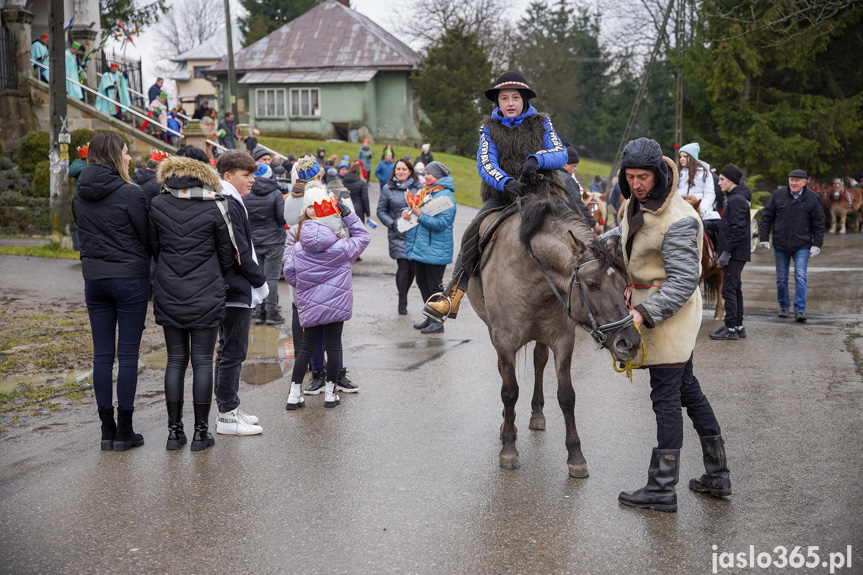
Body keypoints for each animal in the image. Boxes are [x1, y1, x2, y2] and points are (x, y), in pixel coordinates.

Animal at [466, 194, 640, 476]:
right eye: (591, 284)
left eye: (624, 285)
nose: (630, 343)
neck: (530, 273)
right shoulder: (503, 340)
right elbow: (509, 391)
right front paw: (509, 448)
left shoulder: (562, 340)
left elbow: (567, 395)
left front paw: (576, 456)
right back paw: (507, 425)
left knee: (539, 361)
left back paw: (536, 414)